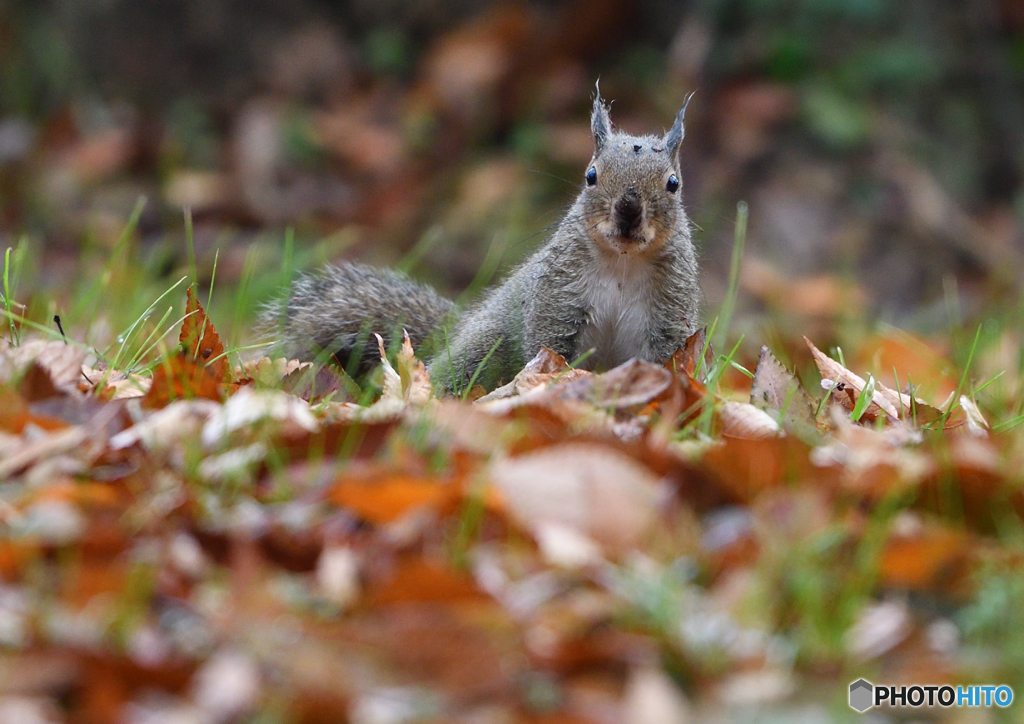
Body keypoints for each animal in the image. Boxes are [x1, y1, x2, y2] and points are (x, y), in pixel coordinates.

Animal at [268, 89, 704, 397]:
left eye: (673, 183)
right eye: (591, 175)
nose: (628, 210)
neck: (622, 261)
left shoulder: (669, 312)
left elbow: (668, 362)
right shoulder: (558, 297)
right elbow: (548, 347)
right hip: (482, 349)